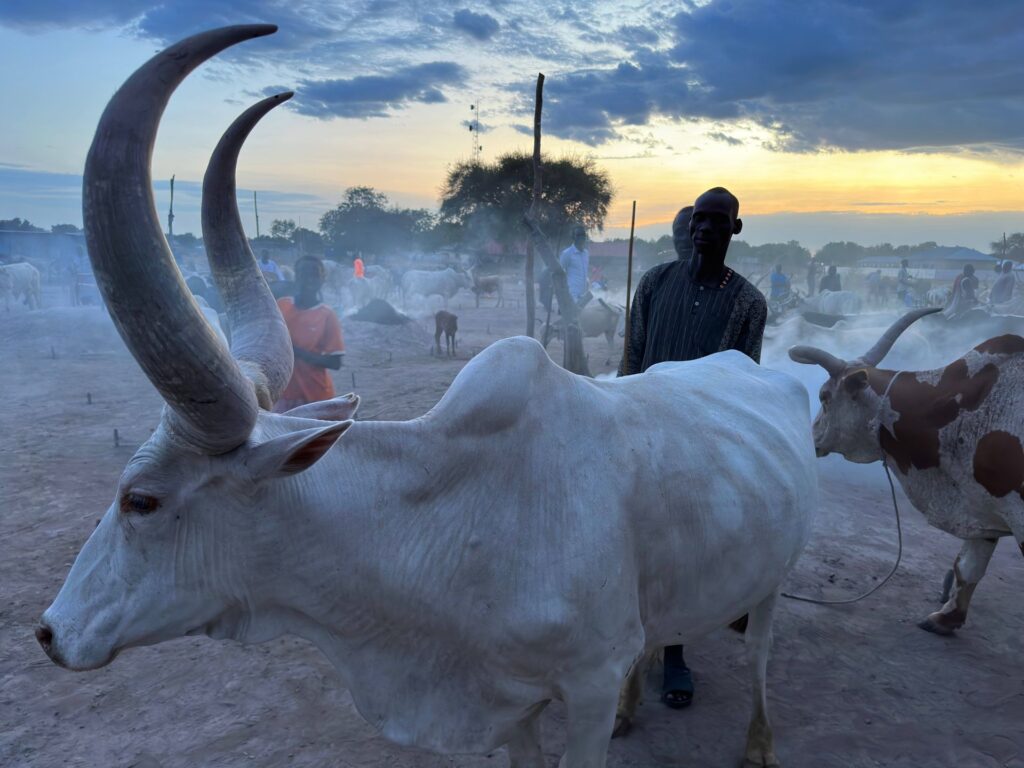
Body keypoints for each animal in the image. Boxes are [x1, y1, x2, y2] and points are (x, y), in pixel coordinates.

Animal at [39, 24, 819, 768]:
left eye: (140, 500)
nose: (48, 632)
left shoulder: (588, 687)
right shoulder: (510, 702)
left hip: (773, 575)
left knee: (759, 650)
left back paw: (759, 740)